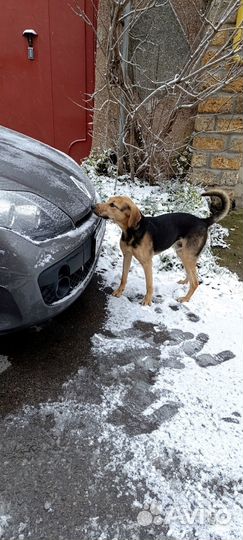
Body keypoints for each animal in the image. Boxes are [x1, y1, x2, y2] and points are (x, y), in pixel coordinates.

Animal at [94, 191, 231, 306]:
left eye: (112, 205)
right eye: (108, 201)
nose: (93, 207)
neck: (132, 231)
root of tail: (203, 221)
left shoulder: (147, 262)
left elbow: (149, 285)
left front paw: (147, 301)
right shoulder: (127, 255)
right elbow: (123, 277)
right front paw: (119, 292)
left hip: (187, 255)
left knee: (196, 282)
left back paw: (185, 299)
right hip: (182, 253)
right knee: (192, 273)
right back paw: (184, 282)